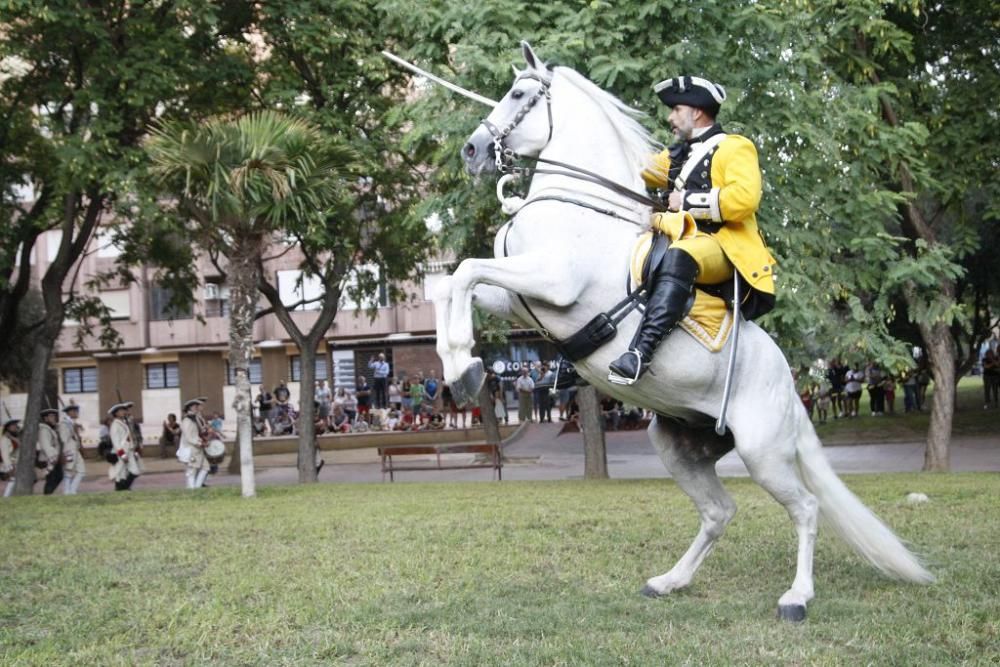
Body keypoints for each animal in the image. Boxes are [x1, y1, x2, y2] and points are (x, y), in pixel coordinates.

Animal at [434, 41, 932, 620]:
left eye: (518, 94)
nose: (471, 151)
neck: (579, 207)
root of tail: (790, 387)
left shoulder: (552, 282)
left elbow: (465, 271)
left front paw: (463, 367)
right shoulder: (518, 299)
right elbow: (452, 283)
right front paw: (462, 367)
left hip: (763, 452)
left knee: (806, 508)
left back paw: (797, 596)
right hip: (679, 445)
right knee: (719, 511)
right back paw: (670, 580)